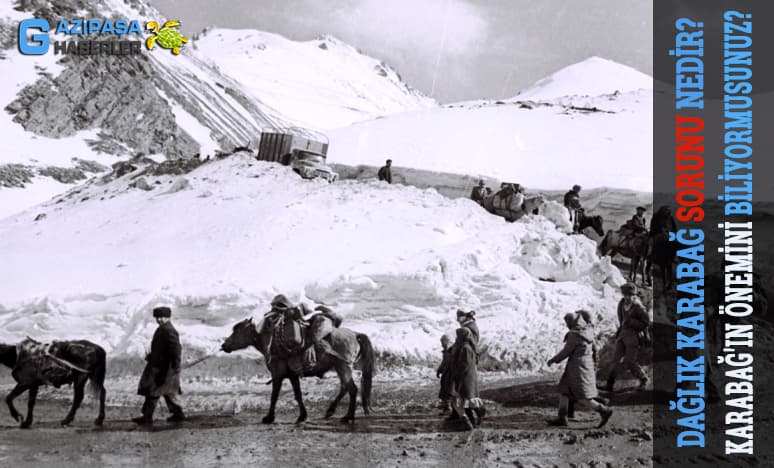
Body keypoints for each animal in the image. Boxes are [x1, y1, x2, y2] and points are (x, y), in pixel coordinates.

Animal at [221, 318, 376, 424]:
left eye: (237, 331)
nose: (224, 345)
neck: (272, 344)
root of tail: (356, 334)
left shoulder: (277, 376)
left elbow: (274, 396)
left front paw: (269, 417)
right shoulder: (292, 376)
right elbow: (298, 395)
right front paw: (302, 416)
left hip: (343, 367)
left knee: (352, 389)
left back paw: (348, 416)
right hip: (340, 367)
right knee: (345, 388)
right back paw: (331, 411)